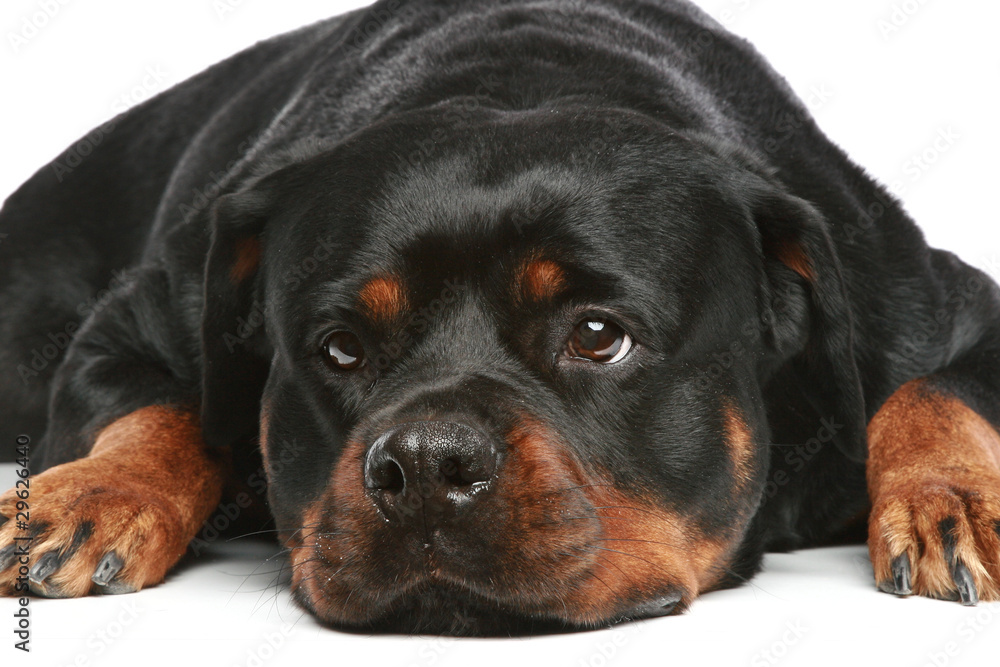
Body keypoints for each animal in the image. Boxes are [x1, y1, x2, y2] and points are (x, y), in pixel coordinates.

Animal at [1, 0, 1000, 636]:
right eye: (339, 347)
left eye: (599, 334)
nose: (425, 466)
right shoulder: (143, 314)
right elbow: (159, 406)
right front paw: (93, 493)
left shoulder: (912, 295)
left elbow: (934, 390)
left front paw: (954, 498)